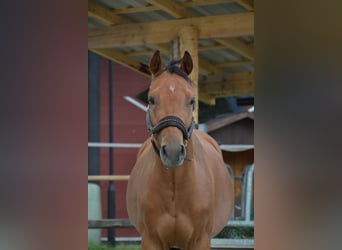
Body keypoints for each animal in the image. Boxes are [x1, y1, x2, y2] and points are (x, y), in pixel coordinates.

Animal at [127, 50, 234, 250]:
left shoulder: (200, 241)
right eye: (151, 99)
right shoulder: (151, 240)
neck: (175, 185)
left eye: (191, 100)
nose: (173, 152)